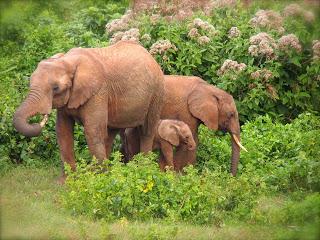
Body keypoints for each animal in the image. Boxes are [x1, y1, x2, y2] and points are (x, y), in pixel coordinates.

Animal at [12, 40, 164, 181]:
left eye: (56, 88)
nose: (37, 122)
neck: (68, 61)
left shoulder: (98, 91)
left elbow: (92, 131)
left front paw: (98, 181)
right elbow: (63, 130)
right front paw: (67, 182)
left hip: (156, 94)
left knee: (146, 131)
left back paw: (143, 167)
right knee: (109, 133)